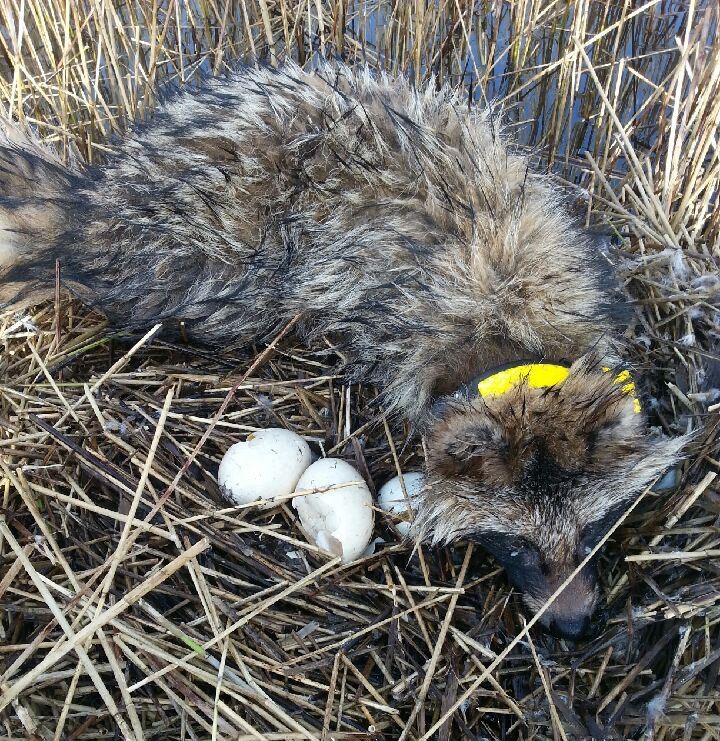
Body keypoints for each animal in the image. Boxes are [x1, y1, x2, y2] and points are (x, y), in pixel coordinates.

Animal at [0, 62, 684, 640]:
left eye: (592, 530)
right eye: (517, 545)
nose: (576, 630)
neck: (509, 338)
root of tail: (92, 209)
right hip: (211, 258)